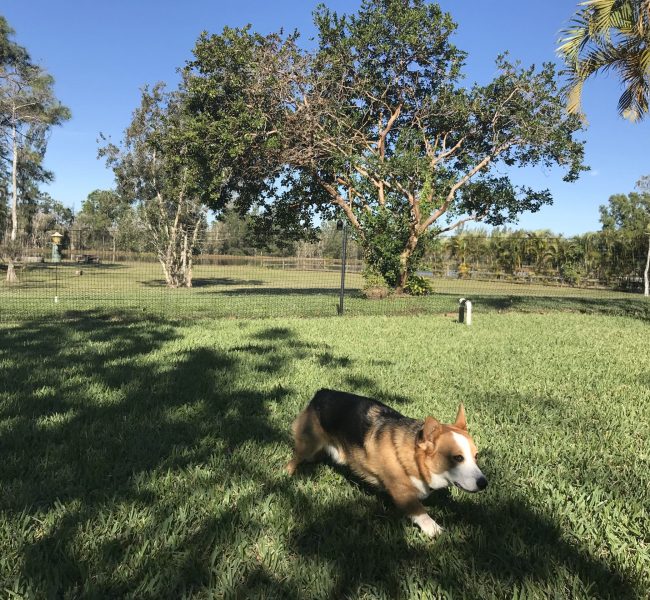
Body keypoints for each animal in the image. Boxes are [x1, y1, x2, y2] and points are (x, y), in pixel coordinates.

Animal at [286, 390, 484, 540]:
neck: (414, 458)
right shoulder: (402, 493)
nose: (484, 483)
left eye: (476, 456)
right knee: (294, 458)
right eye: (457, 458)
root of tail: (322, 393)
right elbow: (420, 512)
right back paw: (287, 474)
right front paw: (435, 530)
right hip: (308, 446)